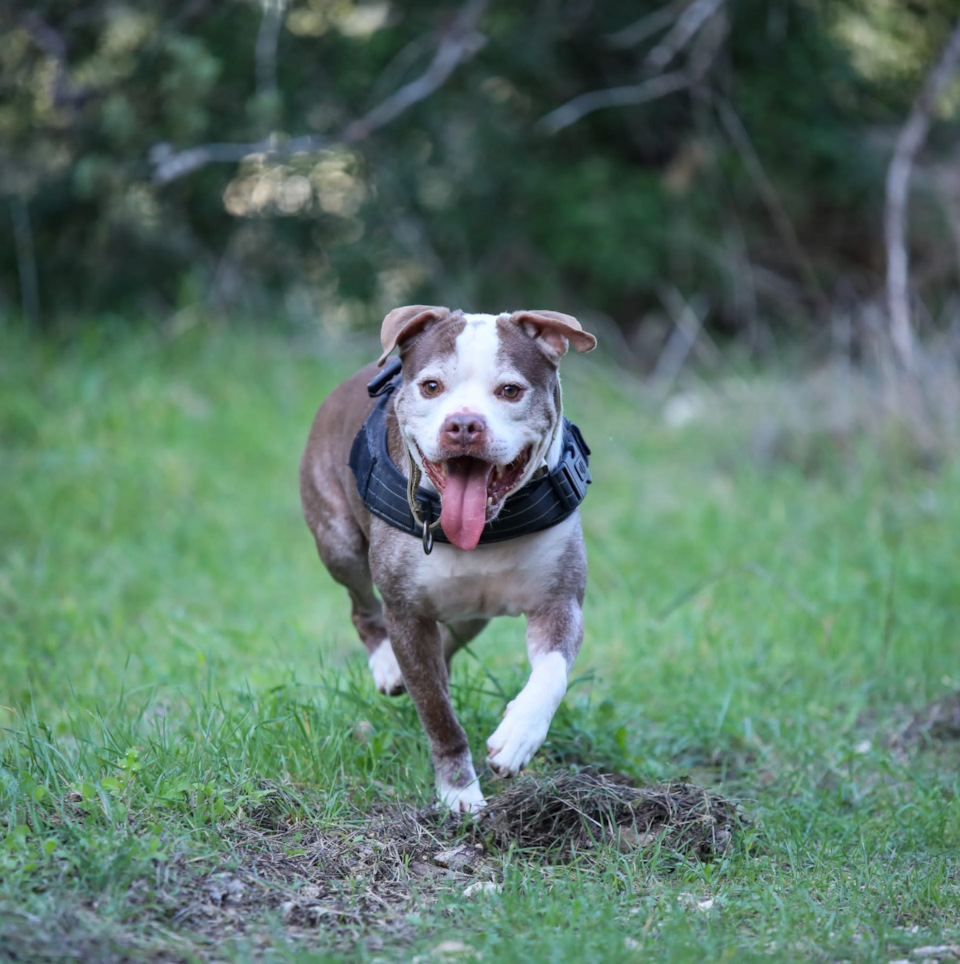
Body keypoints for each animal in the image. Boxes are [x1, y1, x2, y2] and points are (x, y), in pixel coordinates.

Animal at [300, 306, 596, 808]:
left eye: (510, 390)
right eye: (432, 386)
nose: (463, 424)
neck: (486, 532)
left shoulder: (559, 602)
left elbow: (551, 674)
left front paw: (517, 737)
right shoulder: (407, 613)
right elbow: (437, 711)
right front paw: (460, 793)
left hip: (471, 614)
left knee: (450, 642)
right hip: (339, 543)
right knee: (363, 609)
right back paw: (387, 664)